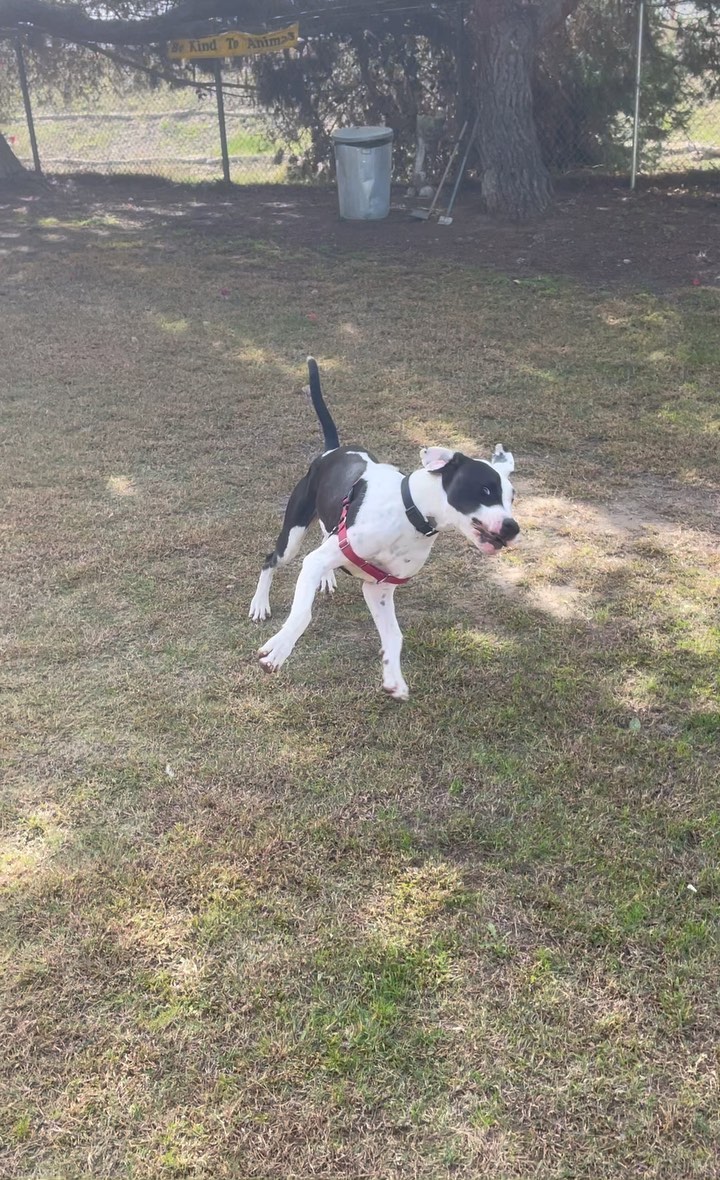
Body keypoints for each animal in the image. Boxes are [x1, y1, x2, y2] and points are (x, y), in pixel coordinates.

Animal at [249, 353, 519, 693]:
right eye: (484, 489)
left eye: (512, 497)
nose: (513, 527)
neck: (409, 515)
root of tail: (331, 451)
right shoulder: (323, 562)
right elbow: (301, 615)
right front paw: (278, 650)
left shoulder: (378, 588)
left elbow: (395, 635)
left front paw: (394, 676)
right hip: (293, 538)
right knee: (271, 559)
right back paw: (260, 604)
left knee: (322, 538)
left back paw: (326, 579)